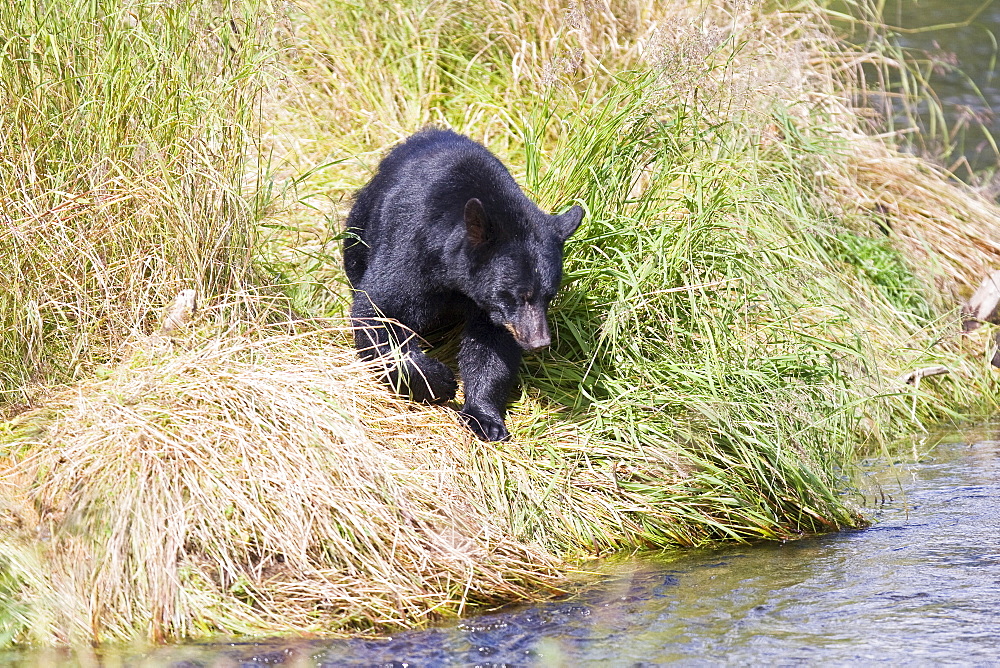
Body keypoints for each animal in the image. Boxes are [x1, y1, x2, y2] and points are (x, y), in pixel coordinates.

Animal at [344, 127, 584, 440]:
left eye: (550, 296)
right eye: (515, 295)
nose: (539, 342)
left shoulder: (490, 310)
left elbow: (491, 347)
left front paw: (485, 418)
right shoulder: (411, 247)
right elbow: (380, 312)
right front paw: (440, 382)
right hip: (360, 227)